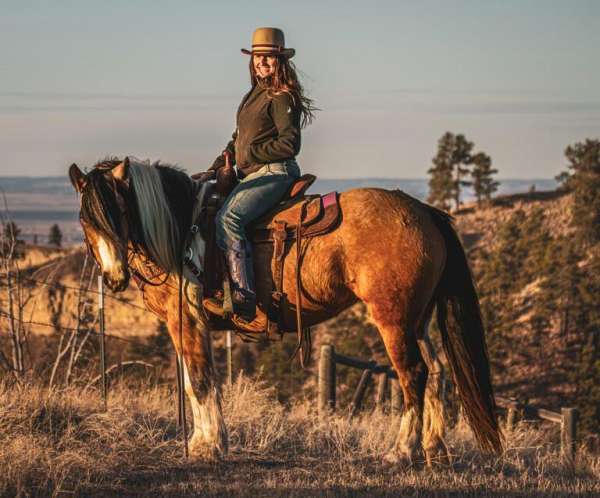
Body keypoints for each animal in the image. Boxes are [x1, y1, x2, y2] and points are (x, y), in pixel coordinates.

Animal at [68, 158, 504, 464]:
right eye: (86, 220)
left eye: (119, 212)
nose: (115, 277)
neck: (179, 232)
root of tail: (424, 211)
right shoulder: (188, 325)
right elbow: (195, 383)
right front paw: (203, 440)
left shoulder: (186, 320)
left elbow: (201, 380)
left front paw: (210, 446)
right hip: (419, 319)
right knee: (439, 372)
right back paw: (434, 448)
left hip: (393, 319)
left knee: (413, 373)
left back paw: (402, 450)